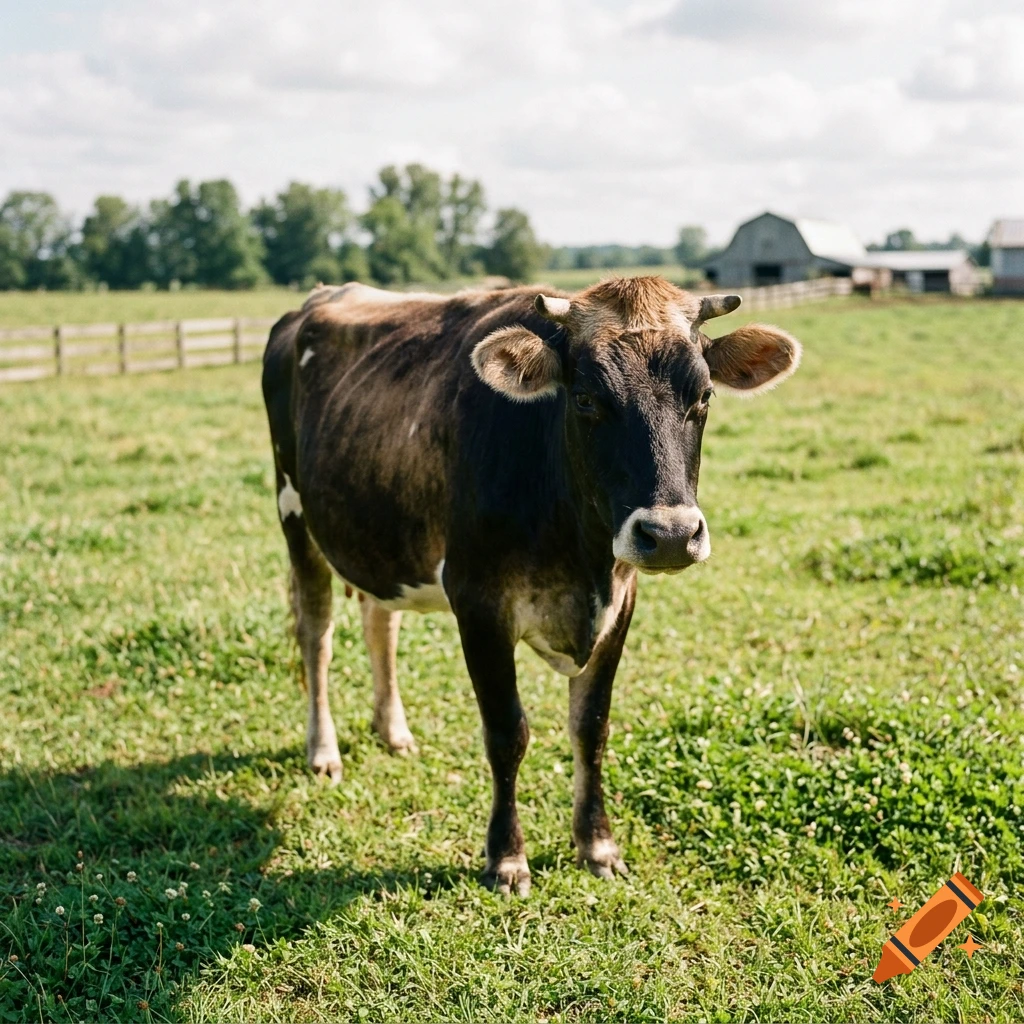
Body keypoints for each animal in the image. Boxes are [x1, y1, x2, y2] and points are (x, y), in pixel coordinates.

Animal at [261, 276, 801, 895]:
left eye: (705, 396)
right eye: (586, 398)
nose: (669, 535)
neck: (578, 551)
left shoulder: (620, 604)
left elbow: (591, 729)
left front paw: (598, 845)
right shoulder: (478, 603)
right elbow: (507, 732)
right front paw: (506, 857)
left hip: (378, 531)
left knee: (381, 624)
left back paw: (392, 731)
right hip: (296, 517)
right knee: (316, 636)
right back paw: (323, 750)